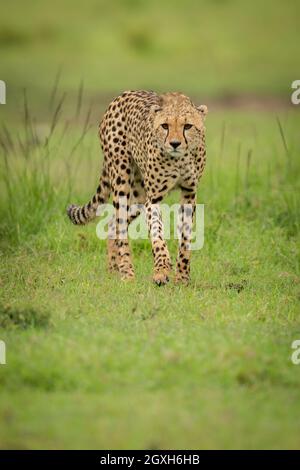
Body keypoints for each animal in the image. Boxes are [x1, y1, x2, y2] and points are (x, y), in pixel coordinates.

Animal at [67, 90, 207, 284]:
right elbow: (157, 234)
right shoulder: (153, 199)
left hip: (139, 195)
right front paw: (161, 271)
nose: (174, 143)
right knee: (120, 225)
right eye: (164, 126)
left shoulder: (189, 193)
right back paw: (127, 273)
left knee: (113, 222)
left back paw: (113, 269)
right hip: (121, 178)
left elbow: (185, 239)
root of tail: (122, 95)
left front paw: (182, 277)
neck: (180, 159)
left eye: (187, 126)